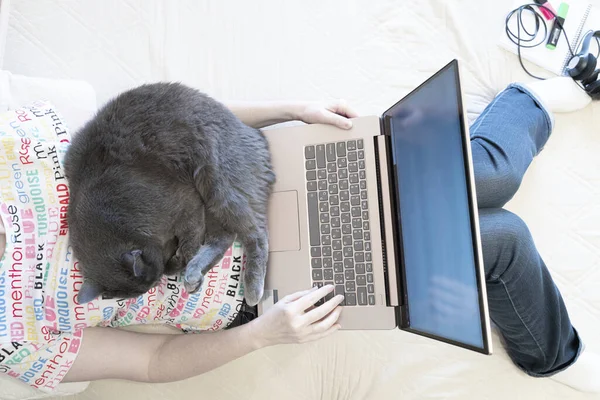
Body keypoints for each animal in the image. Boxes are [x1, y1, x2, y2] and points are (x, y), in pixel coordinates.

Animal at [64, 82, 276, 306]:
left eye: (154, 281)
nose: (154, 282)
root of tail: (251, 130)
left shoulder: (186, 202)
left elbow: (190, 241)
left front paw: (178, 262)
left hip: (220, 184)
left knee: (257, 234)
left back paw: (251, 289)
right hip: (213, 202)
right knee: (224, 236)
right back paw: (194, 274)